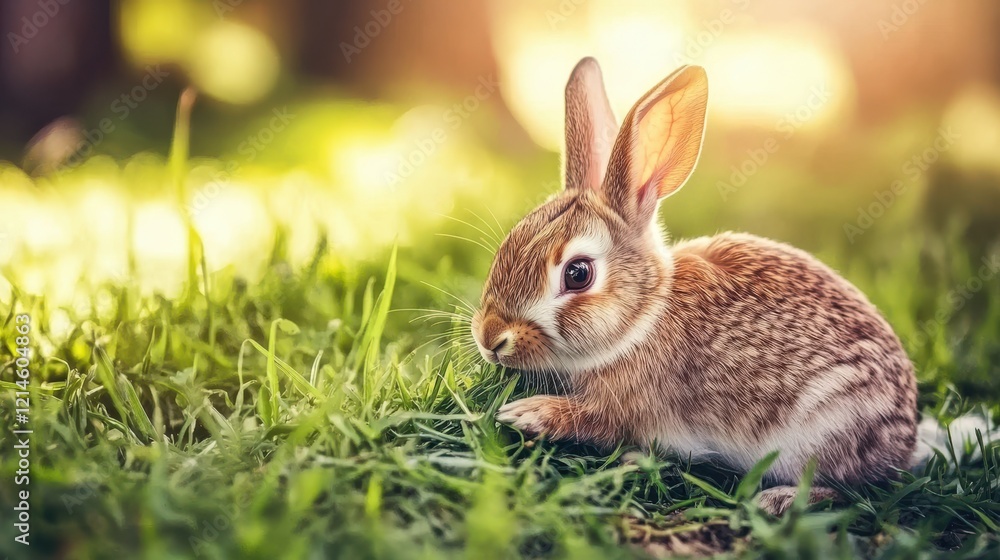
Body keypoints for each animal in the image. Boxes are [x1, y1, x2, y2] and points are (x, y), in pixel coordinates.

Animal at [471, 57, 918, 515]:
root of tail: (904, 443)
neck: (643, 319)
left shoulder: (629, 407)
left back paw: (776, 499)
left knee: (849, 490)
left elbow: (595, 421)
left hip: (823, 429)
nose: (490, 337)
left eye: (578, 273)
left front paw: (527, 413)